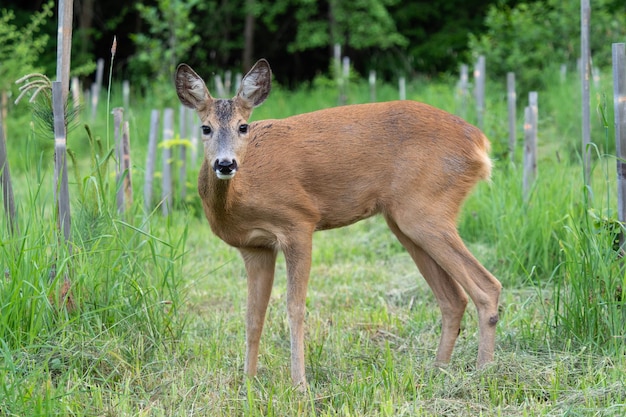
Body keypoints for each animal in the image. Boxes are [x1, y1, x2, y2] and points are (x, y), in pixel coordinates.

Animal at [176, 57, 502, 386]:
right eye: (205, 128)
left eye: (243, 126)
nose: (225, 164)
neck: (240, 198)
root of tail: (480, 143)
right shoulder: (255, 247)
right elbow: (253, 315)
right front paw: (248, 382)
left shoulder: (298, 222)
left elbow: (295, 307)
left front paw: (299, 384)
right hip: (404, 221)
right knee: (453, 299)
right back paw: (438, 371)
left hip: (426, 210)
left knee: (487, 286)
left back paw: (484, 372)